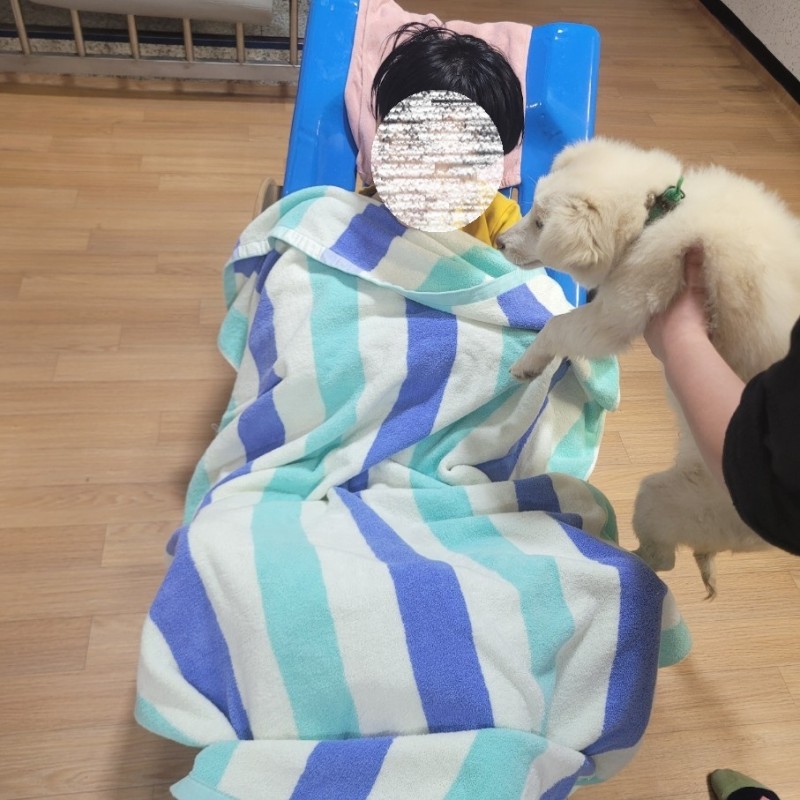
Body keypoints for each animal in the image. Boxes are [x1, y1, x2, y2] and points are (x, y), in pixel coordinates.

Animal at [496, 137, 800, 596]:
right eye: (532, 213)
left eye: (541, 223)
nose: (498, 242)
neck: (655, 213)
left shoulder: (619, 310)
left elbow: (557, 324)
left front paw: (528, 363)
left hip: (659, 497)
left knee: (659, 561)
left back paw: (610, 550)